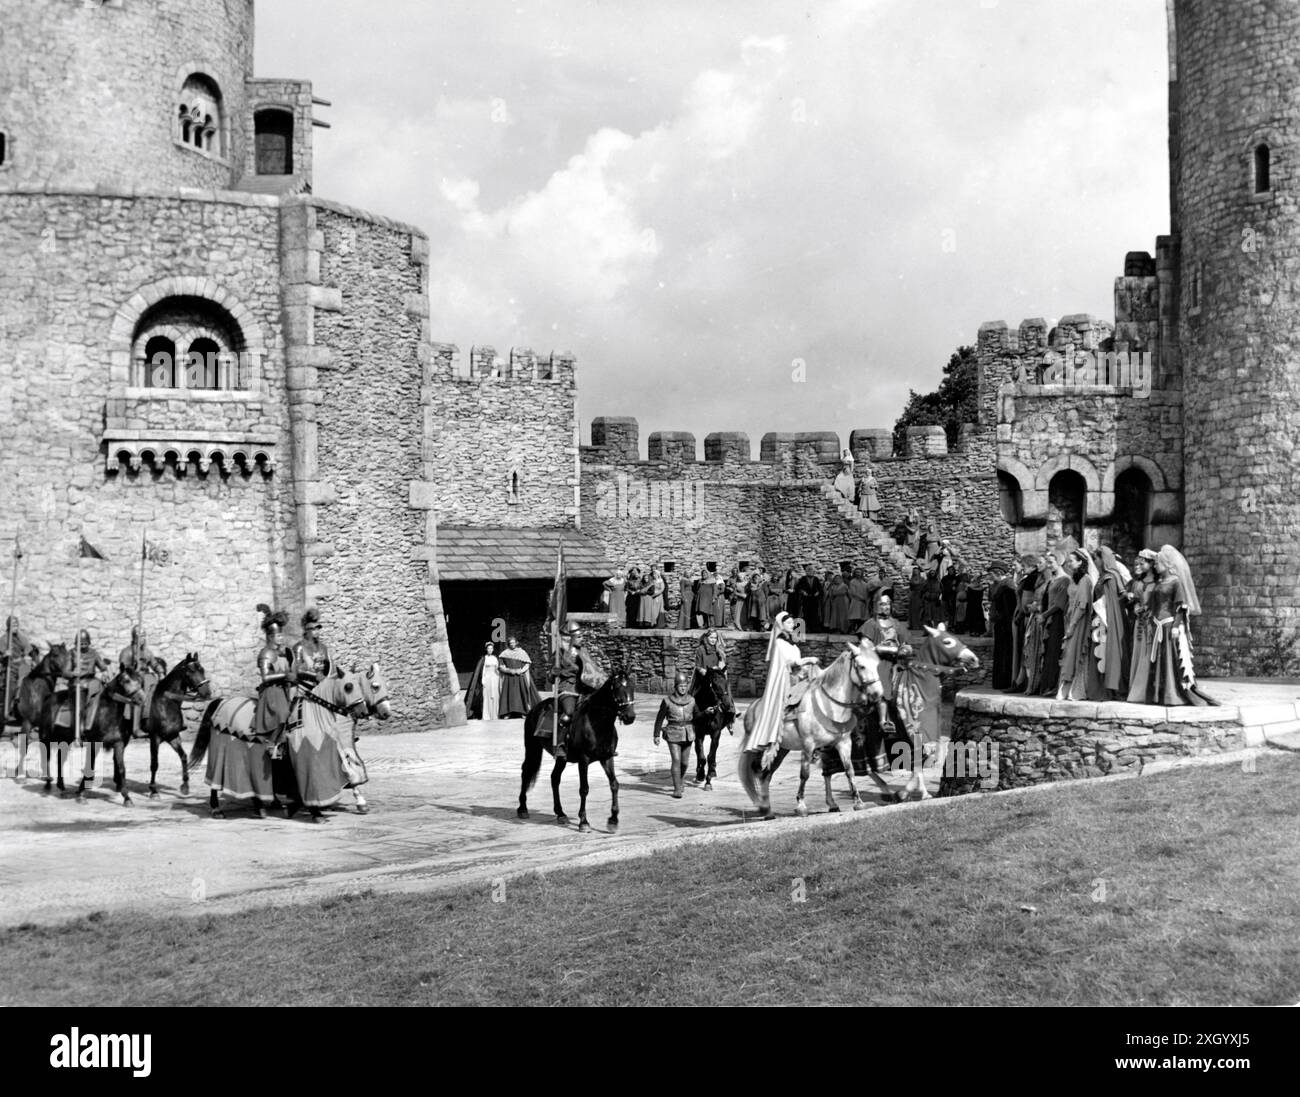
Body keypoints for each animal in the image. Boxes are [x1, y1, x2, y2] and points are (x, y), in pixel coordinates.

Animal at [140, 652, 213, 795]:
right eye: (191, 671)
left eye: (202, 669)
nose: (206, 692)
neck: (166, 701)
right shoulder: (155, 737)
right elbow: (154, 763)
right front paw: (153, 790)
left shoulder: (172, 736)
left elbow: (183, 756)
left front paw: (185, 785)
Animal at [517, 670, 639, 831]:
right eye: (617, 687)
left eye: (632, 687)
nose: (630, 716)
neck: (597, 722)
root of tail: (533, 709)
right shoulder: (584, 759)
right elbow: (584, 789)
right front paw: (584, 822)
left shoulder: (607, 758)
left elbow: (614, 784)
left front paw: (613, 820)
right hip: (532, 748)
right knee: (526, 772)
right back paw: (522, 808)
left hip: (561, 758)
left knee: (554, 778)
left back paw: (560, 813)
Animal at [686, 660, 738, 790]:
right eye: (713, 684)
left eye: (726, 683)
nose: (728, 707)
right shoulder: (699, 733)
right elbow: (701, 756)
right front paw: (700, 775)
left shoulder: (716, 733)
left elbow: (710, 755)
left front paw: (708, 780)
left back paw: (713, 771)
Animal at [743, 647, 883, 816]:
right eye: (861, 666)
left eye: (877, 664)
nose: (877, 693)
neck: (827, 705)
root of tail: (752, 707)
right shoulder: (808, 745)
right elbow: (805, 774)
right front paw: (801, 806)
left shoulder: (843, 743)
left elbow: (849, 770)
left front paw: (858, 802)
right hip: (761, 748)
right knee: (757, 770)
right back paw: (763, 807)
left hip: (782, 750)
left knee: (766, 774)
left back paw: (768, 809)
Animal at [826, 626, 977, 805]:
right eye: (947, 642)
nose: (973, 659)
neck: (920, 683)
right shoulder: (916, 733)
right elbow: (917, 766)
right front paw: (905, 793)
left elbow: (918, 765)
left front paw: (919, 793)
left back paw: (885, 791)